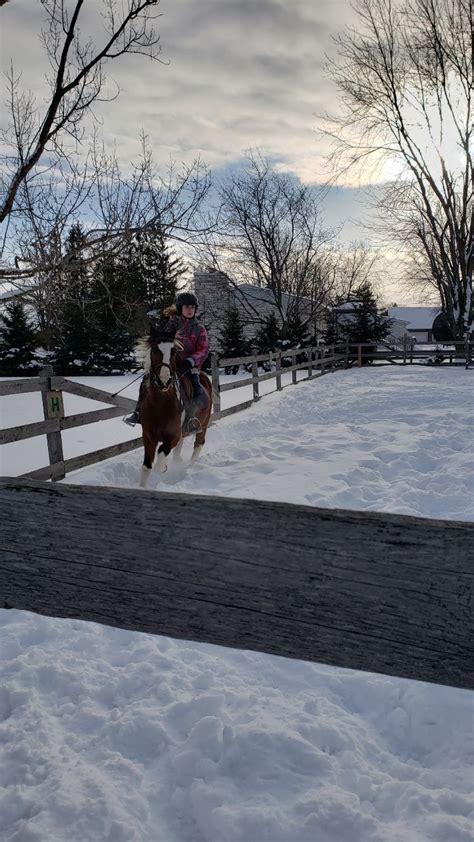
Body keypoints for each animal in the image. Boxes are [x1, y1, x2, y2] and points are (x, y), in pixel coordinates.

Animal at [134, 324, 214, 488]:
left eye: (174, 351)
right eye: (154, 350)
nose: (164, 381)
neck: (160, 403)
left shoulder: (173, 436)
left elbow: (161, 455)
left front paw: (163, 467)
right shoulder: (148, 436)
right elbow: (146, 466)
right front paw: (142, 487)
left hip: (202, 425)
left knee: (198, 444)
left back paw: (187, 468)